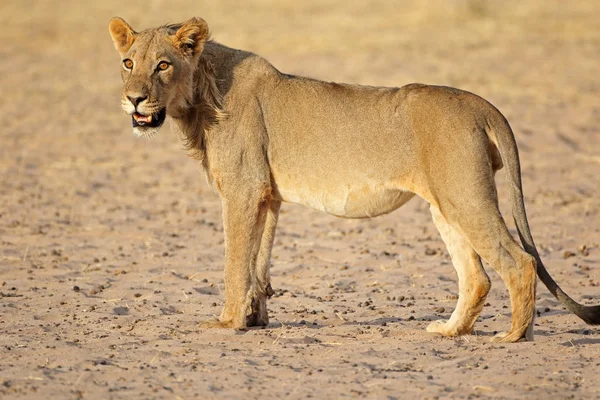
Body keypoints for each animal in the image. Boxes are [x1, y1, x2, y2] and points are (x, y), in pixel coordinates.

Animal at [109, 14, 600, 340]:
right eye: (129, 63)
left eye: (163, 65)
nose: (133, 100)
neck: (200, 96)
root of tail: (482, 104)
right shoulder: (267, 196)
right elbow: (257, 264)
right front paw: (254, 320)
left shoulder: (242, 191)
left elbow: (235, 263)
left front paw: (227, 323)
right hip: (446, 203)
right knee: (477, 276)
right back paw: (449, 331)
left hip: (466, 196)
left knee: (520, 261)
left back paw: (514, 336)